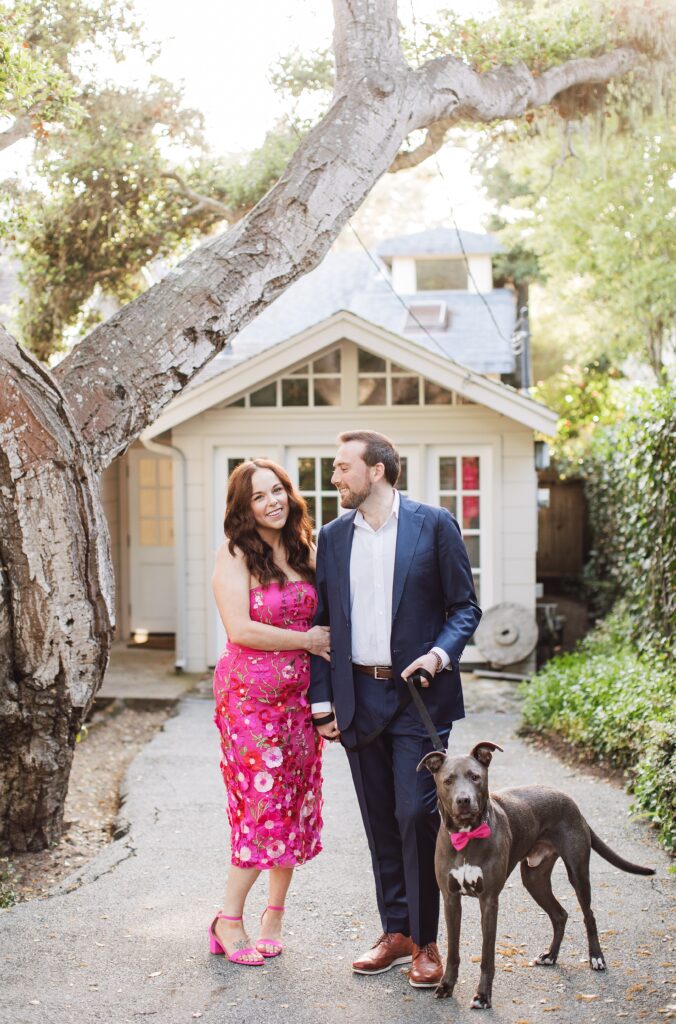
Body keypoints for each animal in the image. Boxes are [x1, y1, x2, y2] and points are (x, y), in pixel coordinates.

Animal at [417, 741, 655, 1011]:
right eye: (448, 780)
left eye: (475, 777)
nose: (464, 800)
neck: (467, 835)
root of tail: (570, 801)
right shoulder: (450, 899)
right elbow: (453, 951)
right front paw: (446, 986)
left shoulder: (488, 901)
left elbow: (487, 956)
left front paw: (483, 996)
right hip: (534, 879)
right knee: (560, 915)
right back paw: (551, 956)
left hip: (577, 872)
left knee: (589, 915)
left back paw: (596, 958)